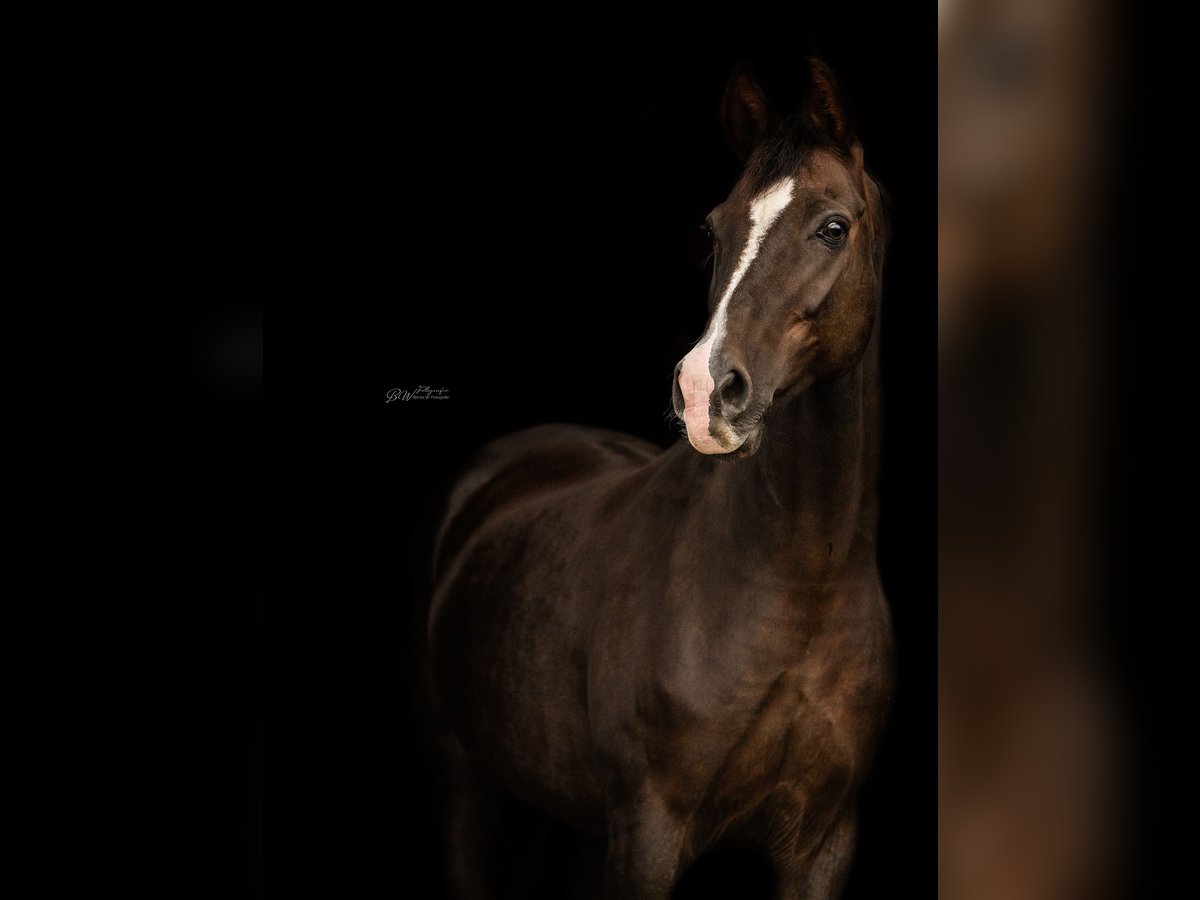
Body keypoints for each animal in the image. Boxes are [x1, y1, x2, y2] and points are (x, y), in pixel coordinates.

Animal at [429, 59, 892, 900]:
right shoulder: (649, 833)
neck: (802, 587)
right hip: (463, 777)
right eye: (714, 226)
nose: (705, 391)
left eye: (833, 227)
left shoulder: (823, 845)